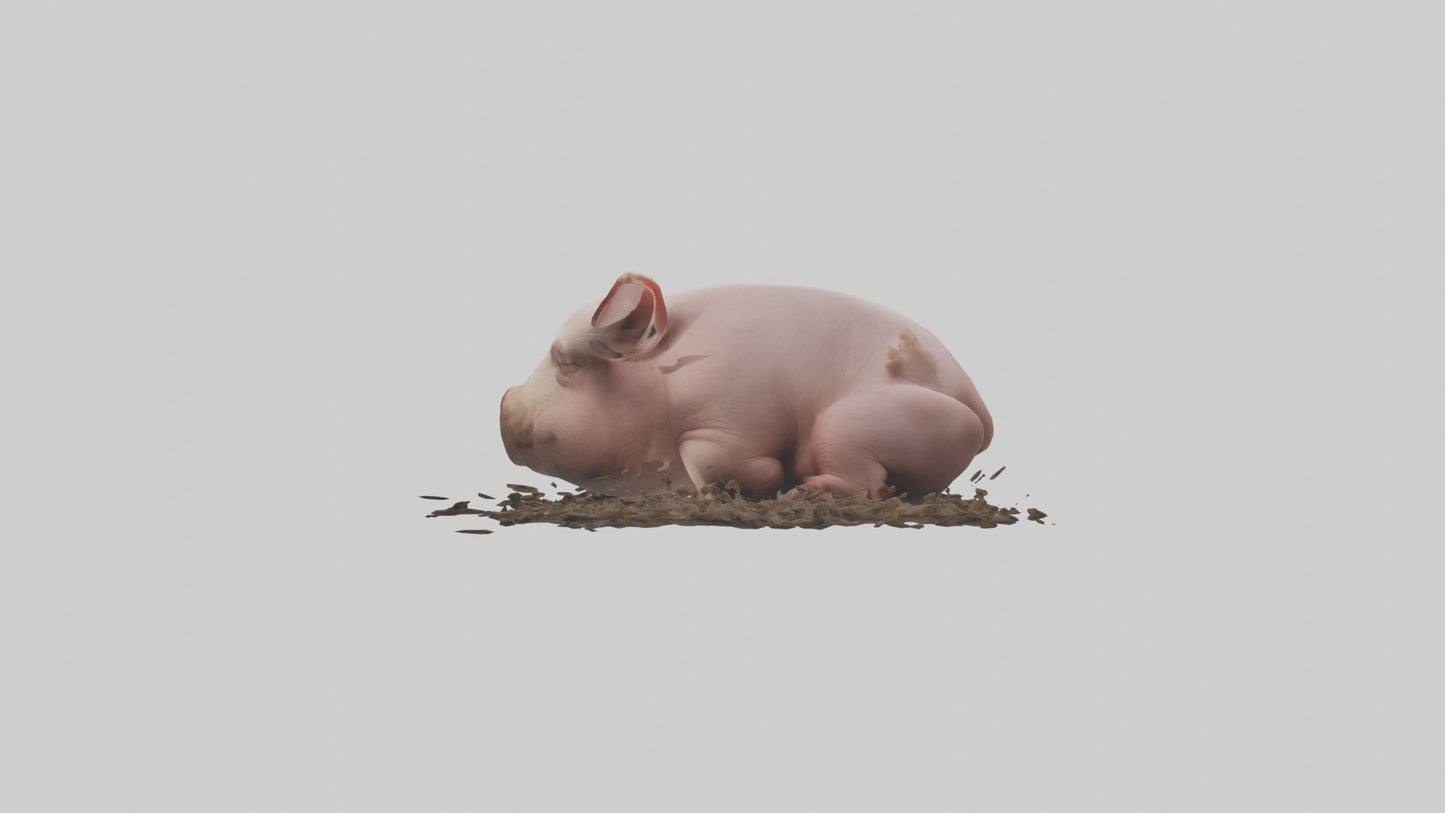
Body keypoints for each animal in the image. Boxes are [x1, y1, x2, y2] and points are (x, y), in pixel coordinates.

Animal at [499, 273, 993, 500]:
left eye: (563, 363)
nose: (503, 400)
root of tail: (977, 404)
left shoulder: (731, 418)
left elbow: (722, 461)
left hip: (859, 421)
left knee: (869, 485)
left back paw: (802, 489)